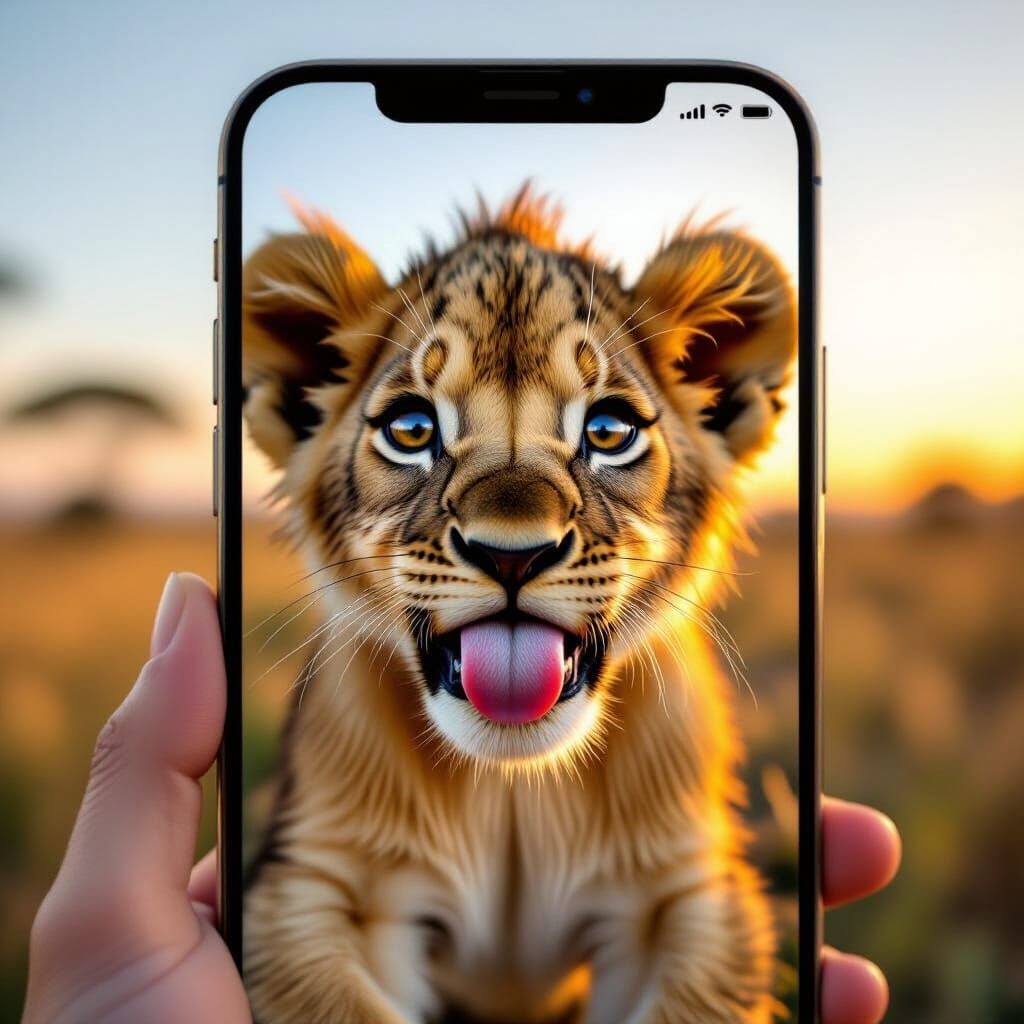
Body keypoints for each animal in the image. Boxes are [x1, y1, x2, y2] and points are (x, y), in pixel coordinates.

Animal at [240, 187, 797, 1024]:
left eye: (609, 429)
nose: (512, 554)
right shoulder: (317, 889)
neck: (511, 794)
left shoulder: (684, 895)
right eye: (411, 429)